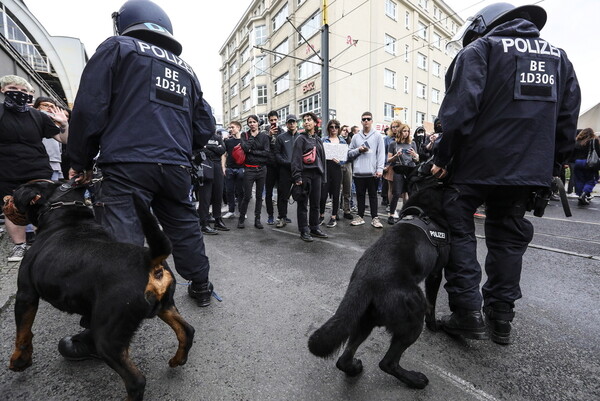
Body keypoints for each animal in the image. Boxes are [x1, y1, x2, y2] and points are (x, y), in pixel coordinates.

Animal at [7, 180, 195, 400]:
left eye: (16, 192)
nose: (6, 198)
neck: (63, 214)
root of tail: (150, 260)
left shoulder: (26, 294)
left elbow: (23, 332)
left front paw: (20, 360)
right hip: (165, 306)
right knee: (186, 330)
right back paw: (178, 359)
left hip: (108, 337)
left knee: (136, 381)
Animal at [310, 170, 446, 388]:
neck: (423, 210)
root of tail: (364, 279)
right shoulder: (435, 273)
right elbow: (433, 305)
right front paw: (434, 326)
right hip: (413, 315)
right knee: (388, 363)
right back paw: (414, 380)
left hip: (365, 320)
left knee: (343, 359)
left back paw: (353, 368)